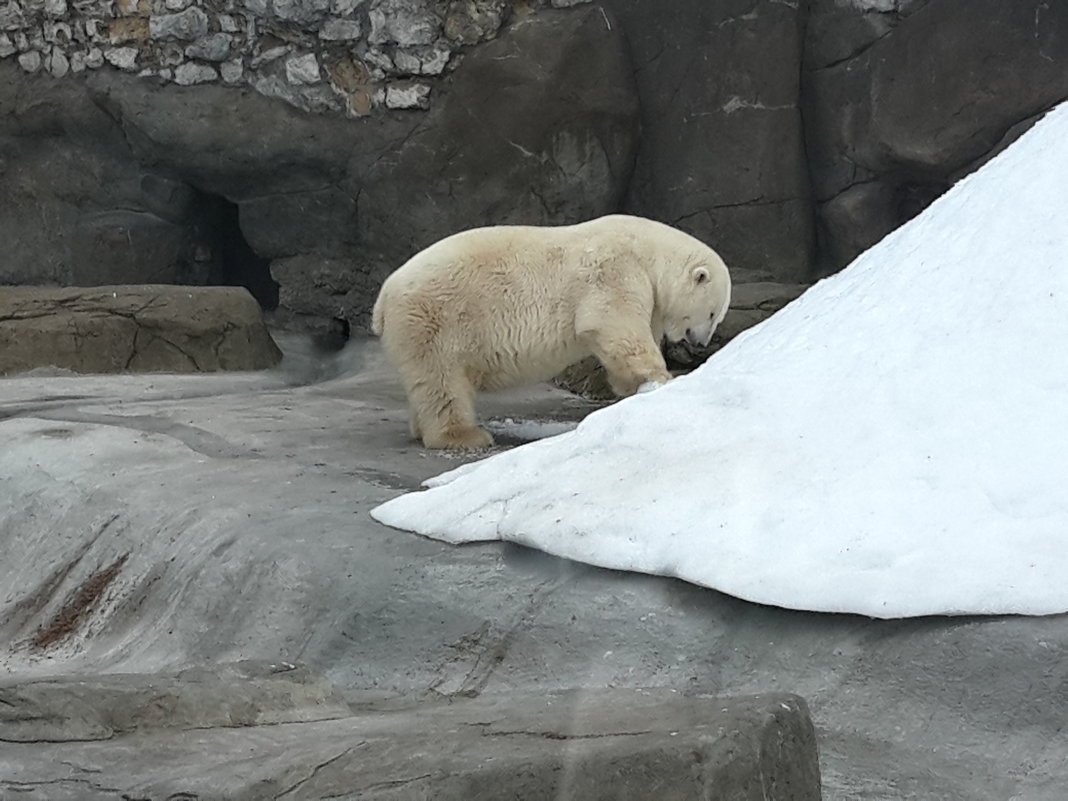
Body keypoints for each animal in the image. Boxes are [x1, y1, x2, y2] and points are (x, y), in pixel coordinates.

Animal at [371, 213, 730, 452]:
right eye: (713, 313)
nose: (701, 342)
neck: (647, 251)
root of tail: (384, 297)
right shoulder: (616, 271)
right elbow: (614, 324)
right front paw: (663, 380)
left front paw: (634, 387)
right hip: (436, 320)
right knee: (442, 381)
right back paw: (463, 436)